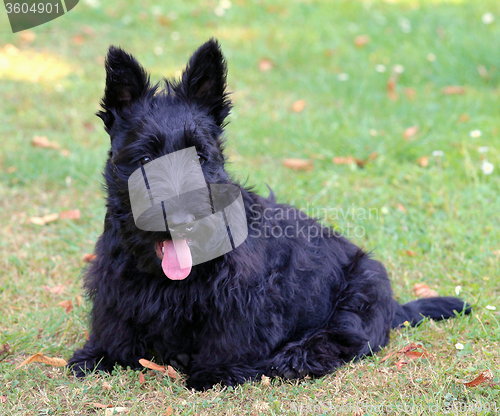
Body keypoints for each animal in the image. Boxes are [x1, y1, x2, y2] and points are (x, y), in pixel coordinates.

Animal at [68, 39, 470, 390]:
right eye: (145, 158)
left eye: (199, 155)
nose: (182, 222)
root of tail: (394, 305)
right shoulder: (114, 284)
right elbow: (115, 326)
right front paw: (99, 355)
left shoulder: (245, 299)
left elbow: (229, 337)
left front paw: (215, 372)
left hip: (360, 291)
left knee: (343, 339)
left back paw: (293, 358)